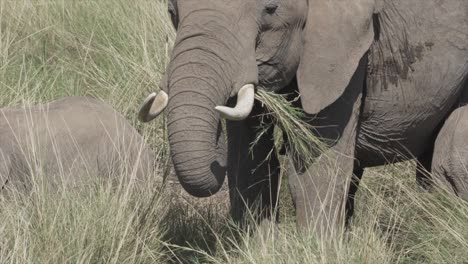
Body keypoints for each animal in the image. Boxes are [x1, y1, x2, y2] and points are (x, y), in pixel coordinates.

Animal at [140, 0, 468, 234]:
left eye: (271, 9)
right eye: (172, 12)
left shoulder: (343, 49)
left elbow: (317, 169)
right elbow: (249, 163)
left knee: (449, 163)